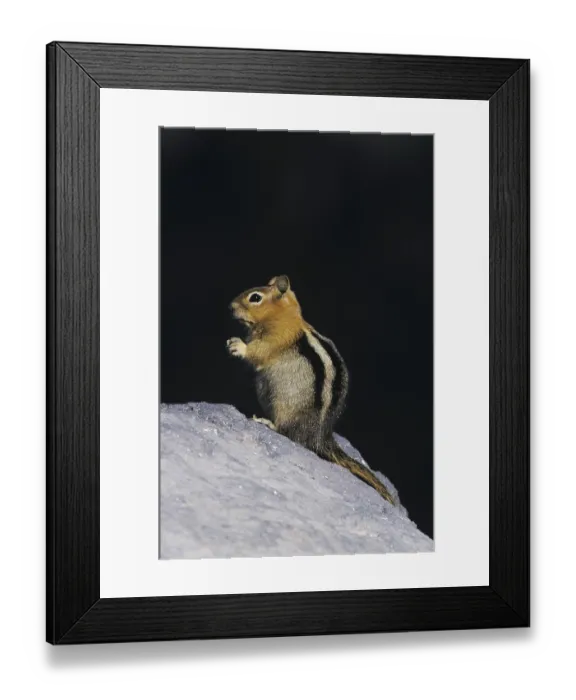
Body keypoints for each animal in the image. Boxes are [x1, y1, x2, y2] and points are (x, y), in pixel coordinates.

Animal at [226, 275, 395, 505]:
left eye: (255, 298)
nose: (230, 307)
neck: (284, 316)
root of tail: (319, 436)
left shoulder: (275, 339)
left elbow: (258, 353)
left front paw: (237, 345)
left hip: (284, 407)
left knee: (287, 432)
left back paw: (266, 422)